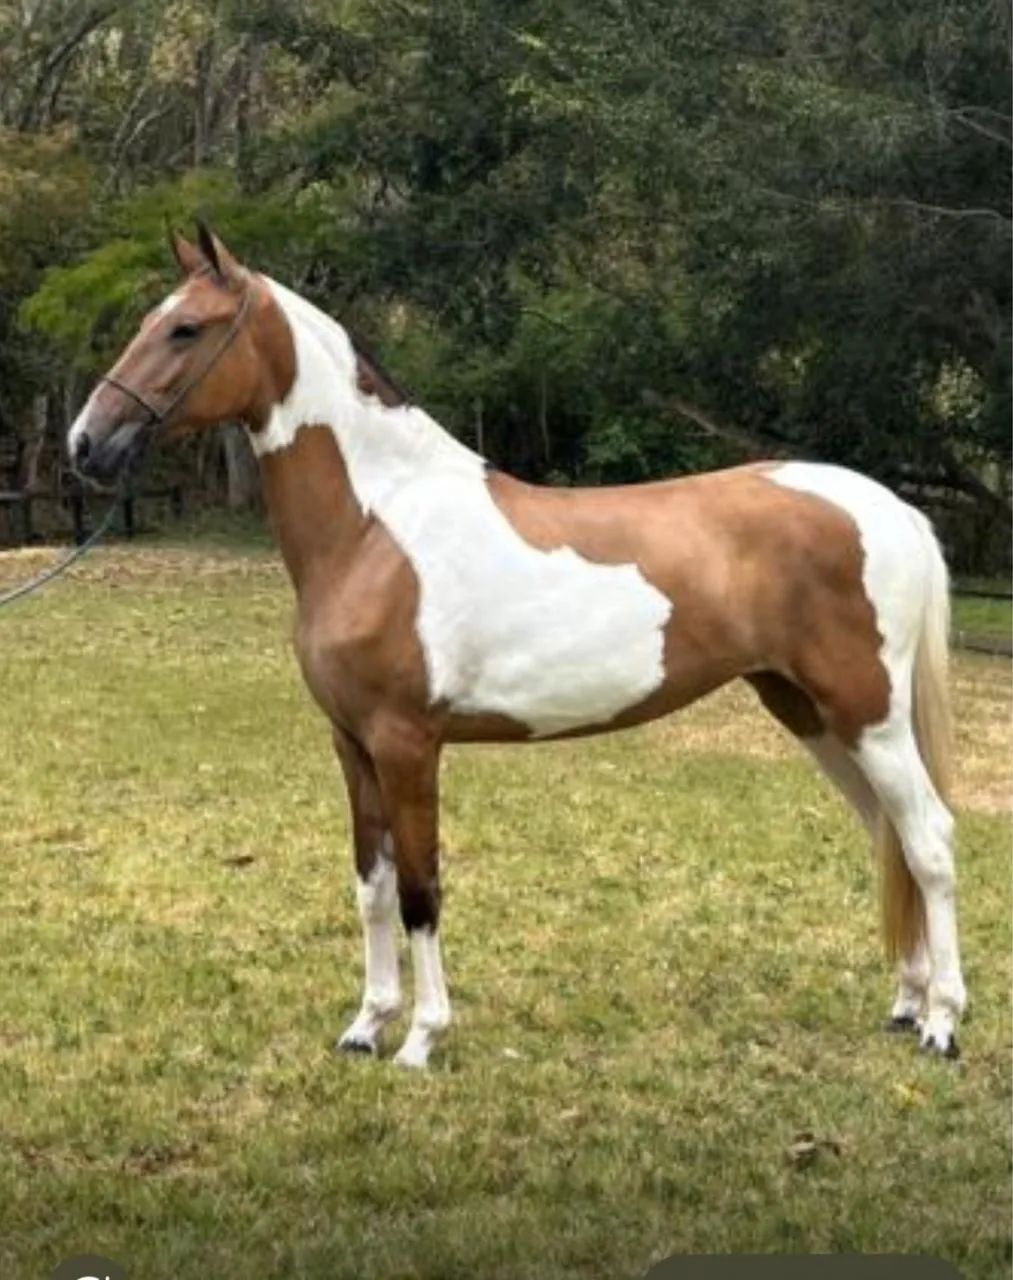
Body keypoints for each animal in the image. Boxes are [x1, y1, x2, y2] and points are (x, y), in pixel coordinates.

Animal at [67, 223, 966, 1068]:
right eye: (151, 321)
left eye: (185, 329)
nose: (85, 442)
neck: (374, 527)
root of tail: (891, 508)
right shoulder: (351, 745)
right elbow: (371, 886)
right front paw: (365, 1027)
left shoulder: (406, 744)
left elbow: (421, 889)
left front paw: (421, 1039)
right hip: (810, 714)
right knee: (889, 836)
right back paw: (905, 1004)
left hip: (868, 717)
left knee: (926, 840)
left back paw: (942, 1023)